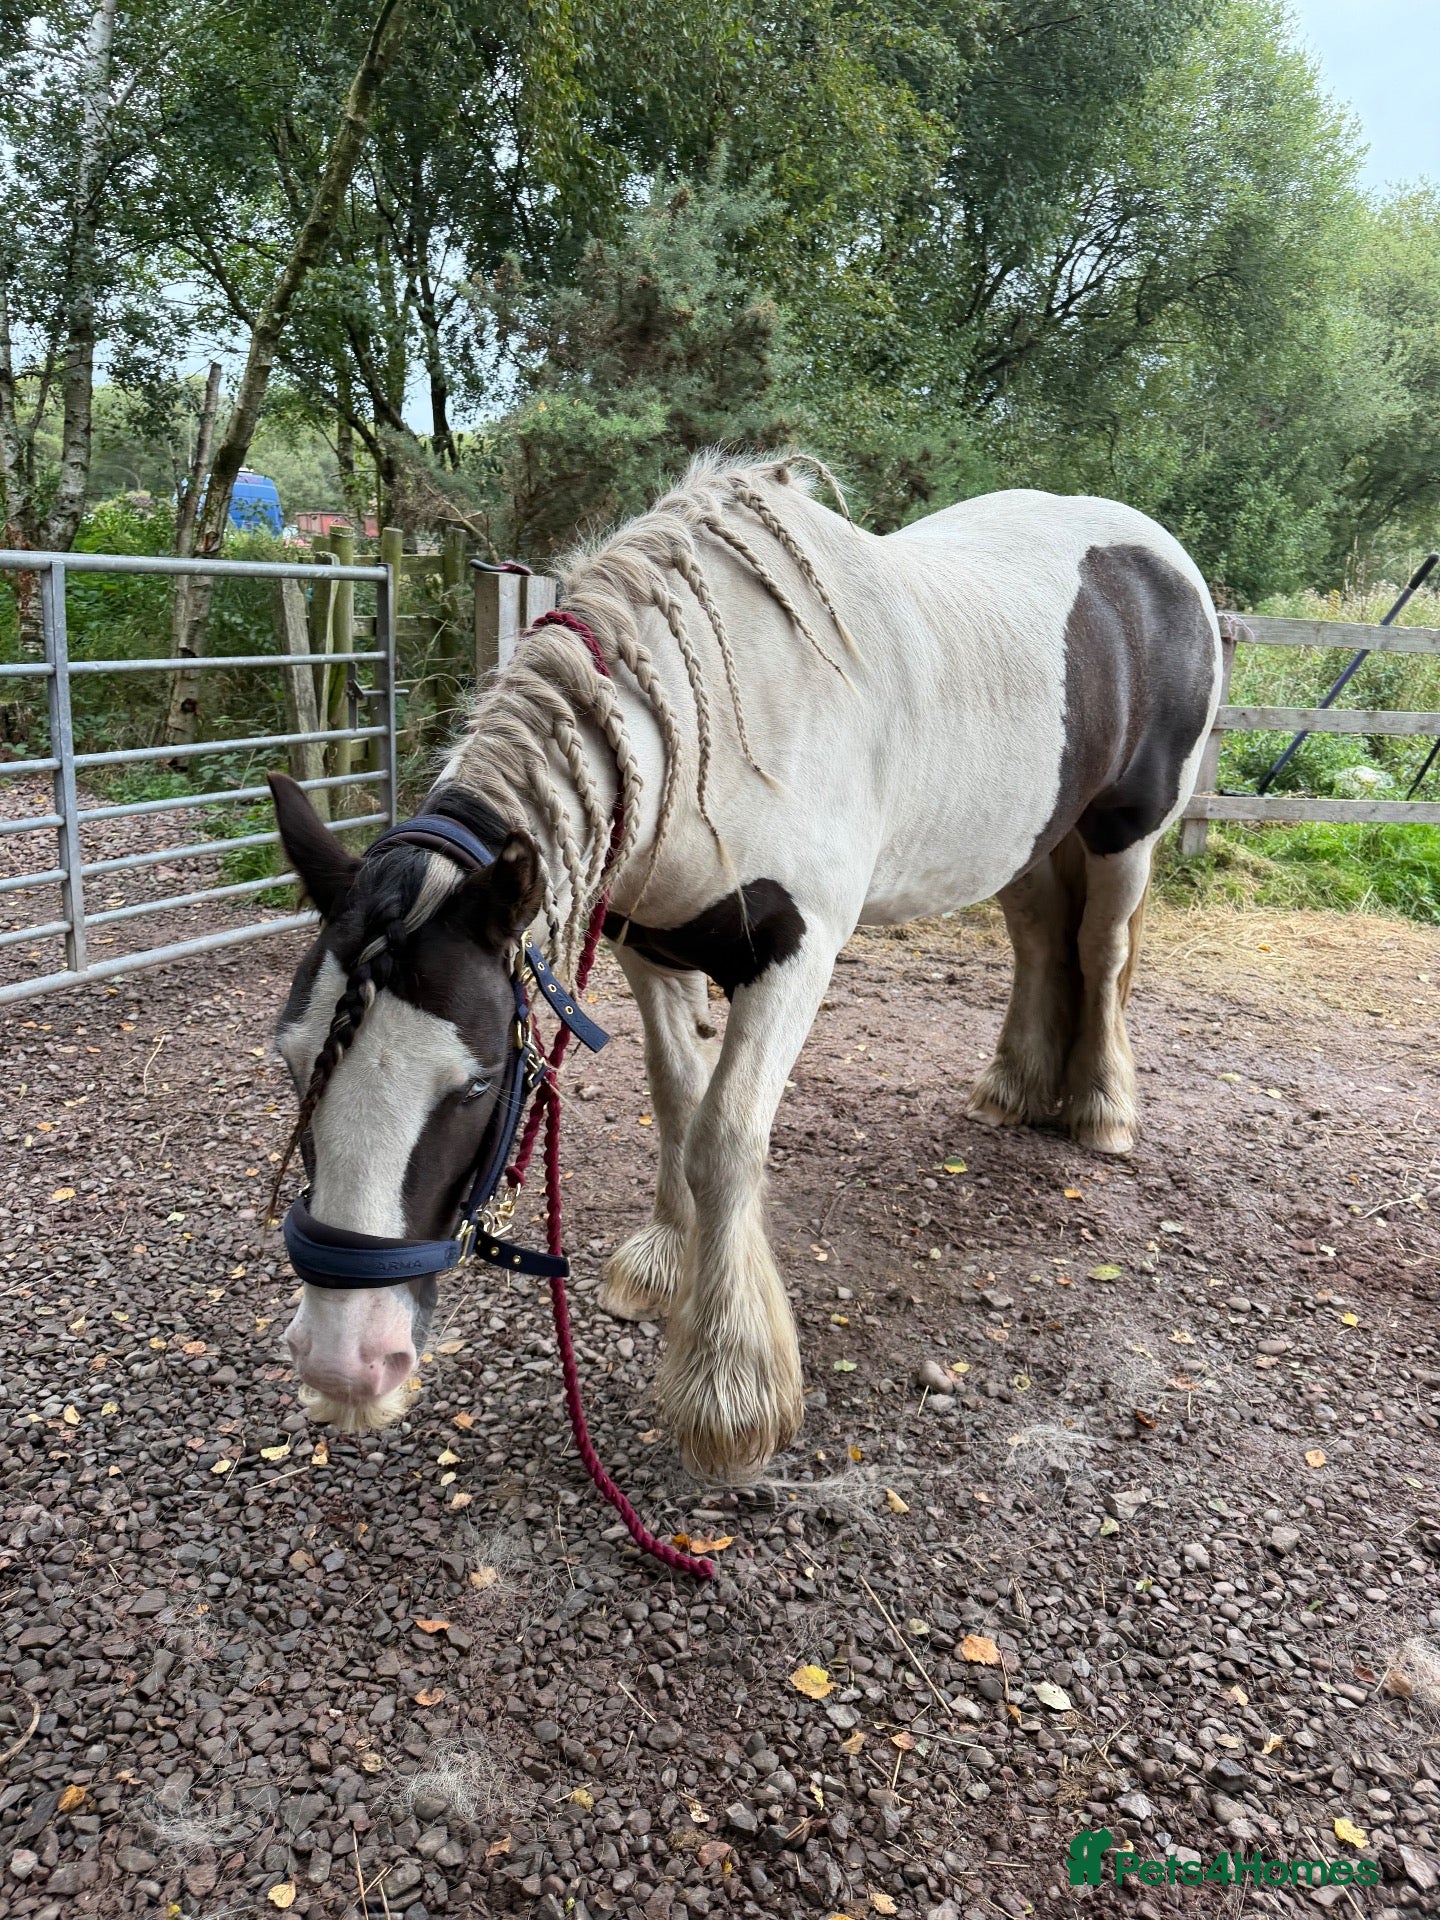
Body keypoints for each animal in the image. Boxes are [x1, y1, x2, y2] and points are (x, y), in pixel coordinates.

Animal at [268, 452, 1222, 1482]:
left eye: (479, 1083)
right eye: (290, 1061)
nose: (345, 1362)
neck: (719, 727)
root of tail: (1161, 557)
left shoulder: (794, 959)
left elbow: (726, 1136)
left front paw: (730, 1387)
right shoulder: (647, 948)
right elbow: (676, 1101)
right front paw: (662, 1264)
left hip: (1125, 831)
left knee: (1101, 950)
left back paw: (1101, 1109)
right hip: (1027, 842)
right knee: (1044, 939)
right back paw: (1013, 1088)